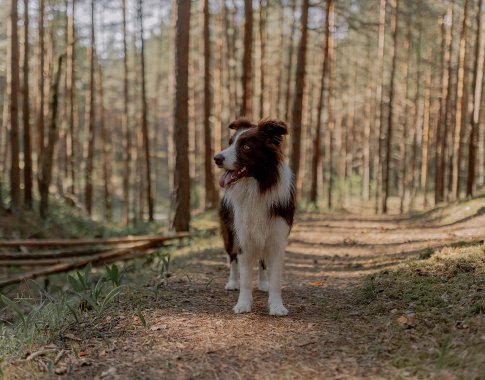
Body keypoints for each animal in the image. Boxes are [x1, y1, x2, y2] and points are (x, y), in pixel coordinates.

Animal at [213, 118, 294, 314]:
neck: (256, 187)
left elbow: (275, 279)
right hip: (229, 233)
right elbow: (245, 277)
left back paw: (263, 283)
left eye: (247, 147)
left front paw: (276, 306)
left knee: (262, 261)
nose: (216, 158)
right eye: (230, 143)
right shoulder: (244, 238)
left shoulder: (277, 238)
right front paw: (243, 304)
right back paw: (232, 282)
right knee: (232, 258)